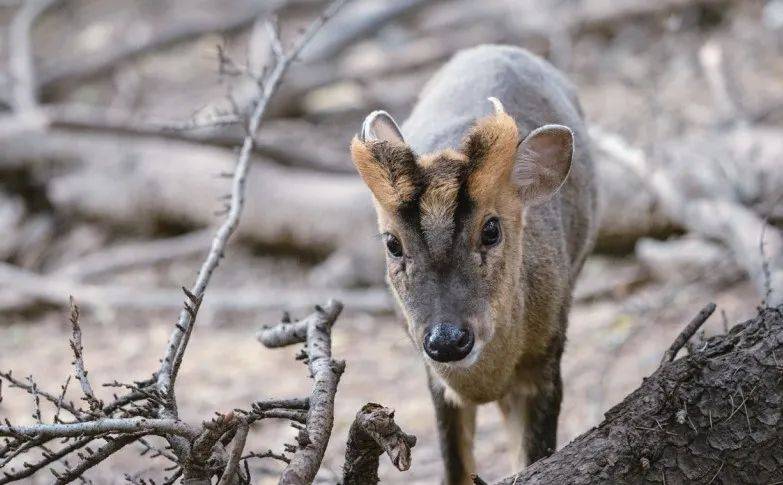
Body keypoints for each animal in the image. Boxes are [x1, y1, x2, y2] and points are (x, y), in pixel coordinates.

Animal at [350, 44, 600, 480]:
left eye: (491, 229)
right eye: (393, 244)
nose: (447, 340)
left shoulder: (547, 356)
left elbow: (534, 456)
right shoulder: (435, 380)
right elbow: (455, 466)